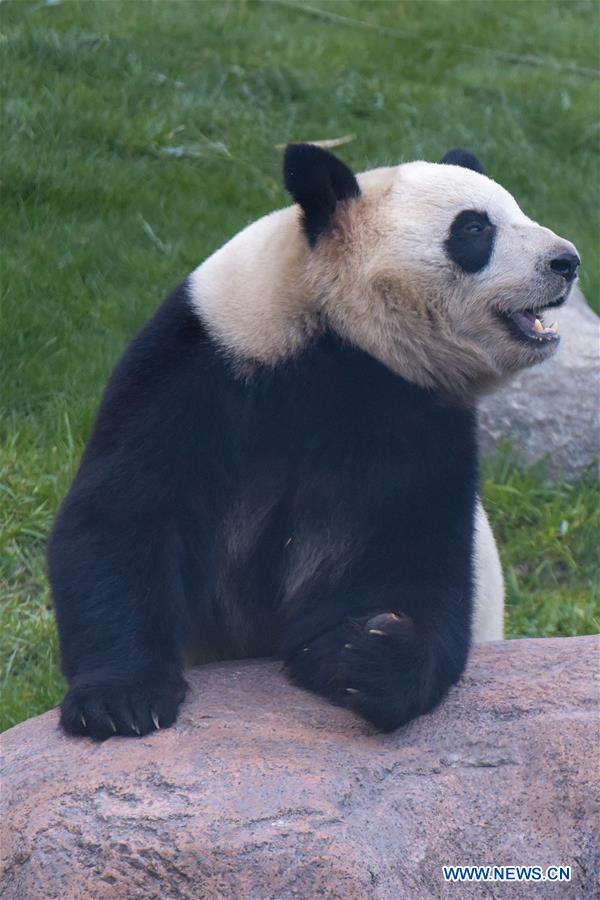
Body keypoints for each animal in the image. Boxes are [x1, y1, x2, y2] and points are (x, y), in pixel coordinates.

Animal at [48, 144, 579, 739]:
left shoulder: (415, 420)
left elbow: (406, 555)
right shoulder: (199, 366)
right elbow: (125, 513)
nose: (567, 261)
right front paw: (120, 701)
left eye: (516, 210)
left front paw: (370, 657)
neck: (337, 339)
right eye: (473, 229)